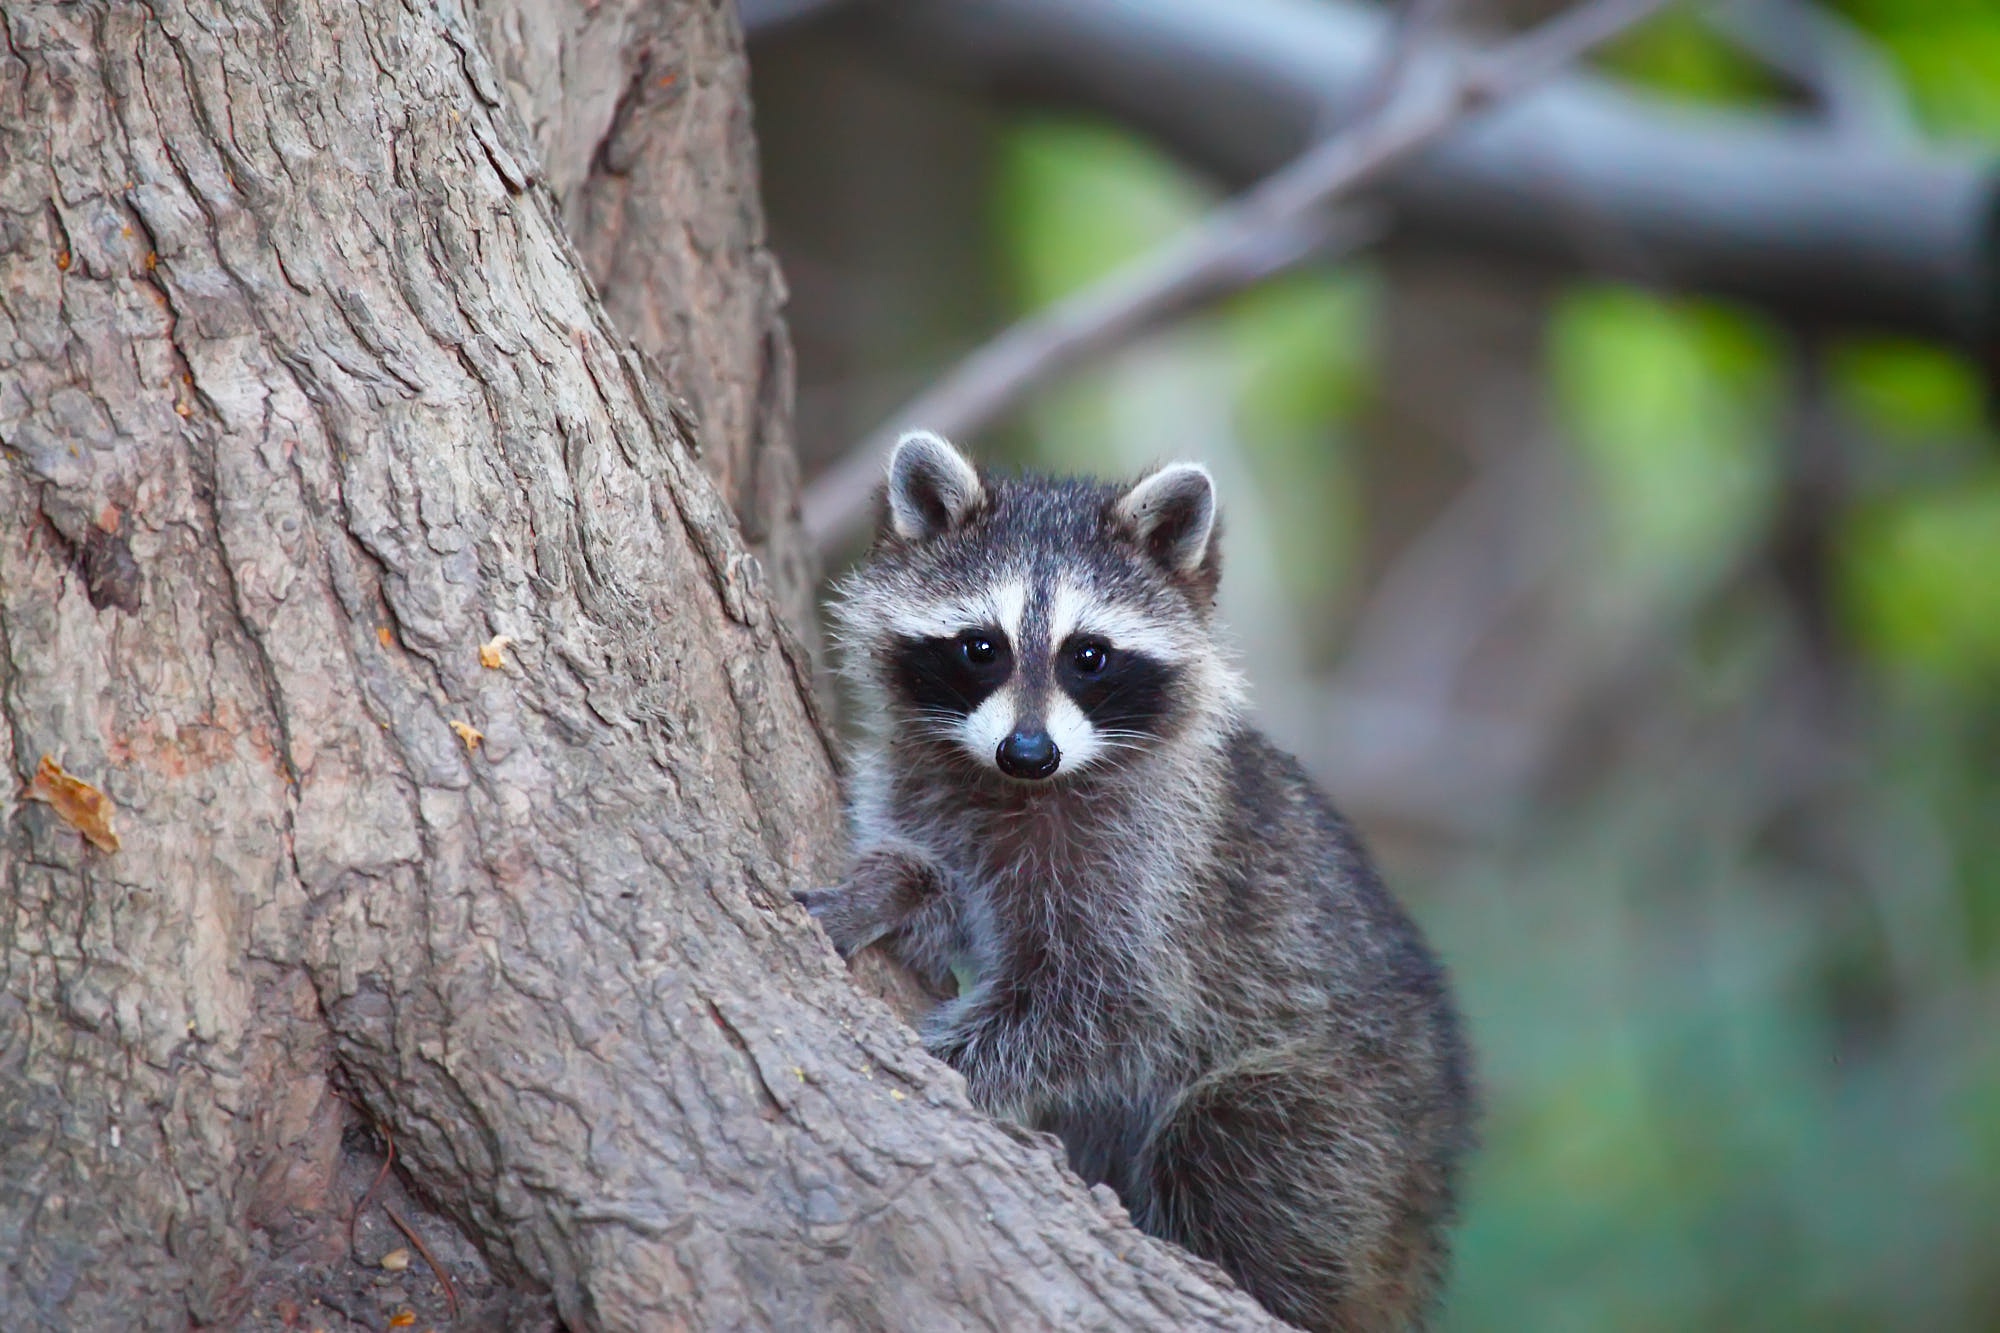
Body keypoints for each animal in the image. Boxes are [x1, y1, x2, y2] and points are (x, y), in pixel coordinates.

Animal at [804, 430, 1480, 1320]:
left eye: (1088, 656)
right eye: (981, 647)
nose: (1028, 751)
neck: (1023, 789)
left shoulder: (1153, 866)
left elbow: (1111, 1005)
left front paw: (944, 1056)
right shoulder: (925, 781)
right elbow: (937, 884)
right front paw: (897, 886)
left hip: (1359, 1130)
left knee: (1237, 1132)